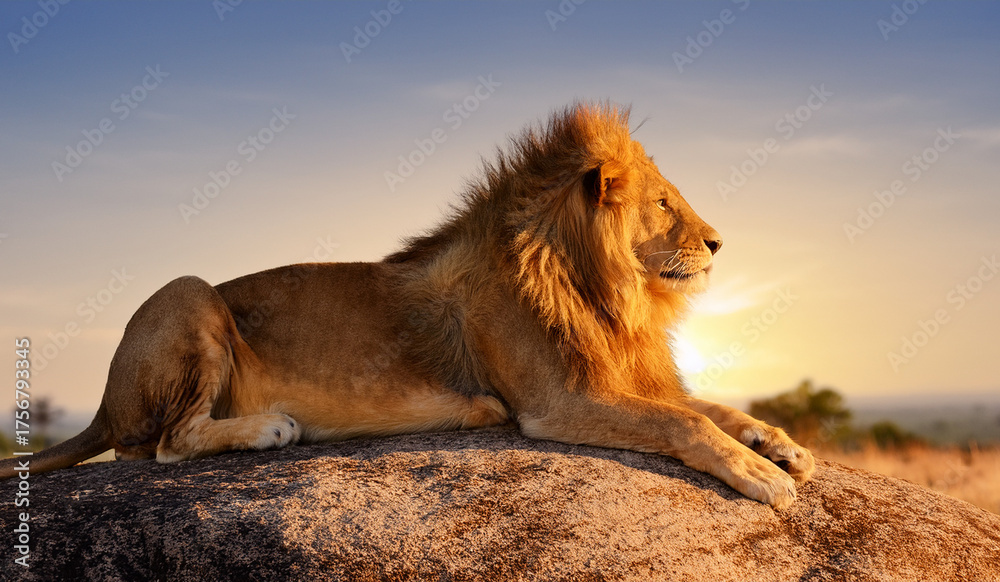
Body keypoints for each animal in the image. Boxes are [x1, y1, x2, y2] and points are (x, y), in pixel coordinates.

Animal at [0, 103, 813, 508]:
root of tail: (104, 400)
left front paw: (781, 445)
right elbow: (685, 422)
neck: (608, 290)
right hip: (189, 292)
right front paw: (762, 475)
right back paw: (270, 428)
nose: (717, 244)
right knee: (160, 444)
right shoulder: (557, 402)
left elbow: (713, 408)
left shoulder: (621, 377)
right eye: (665, 203)